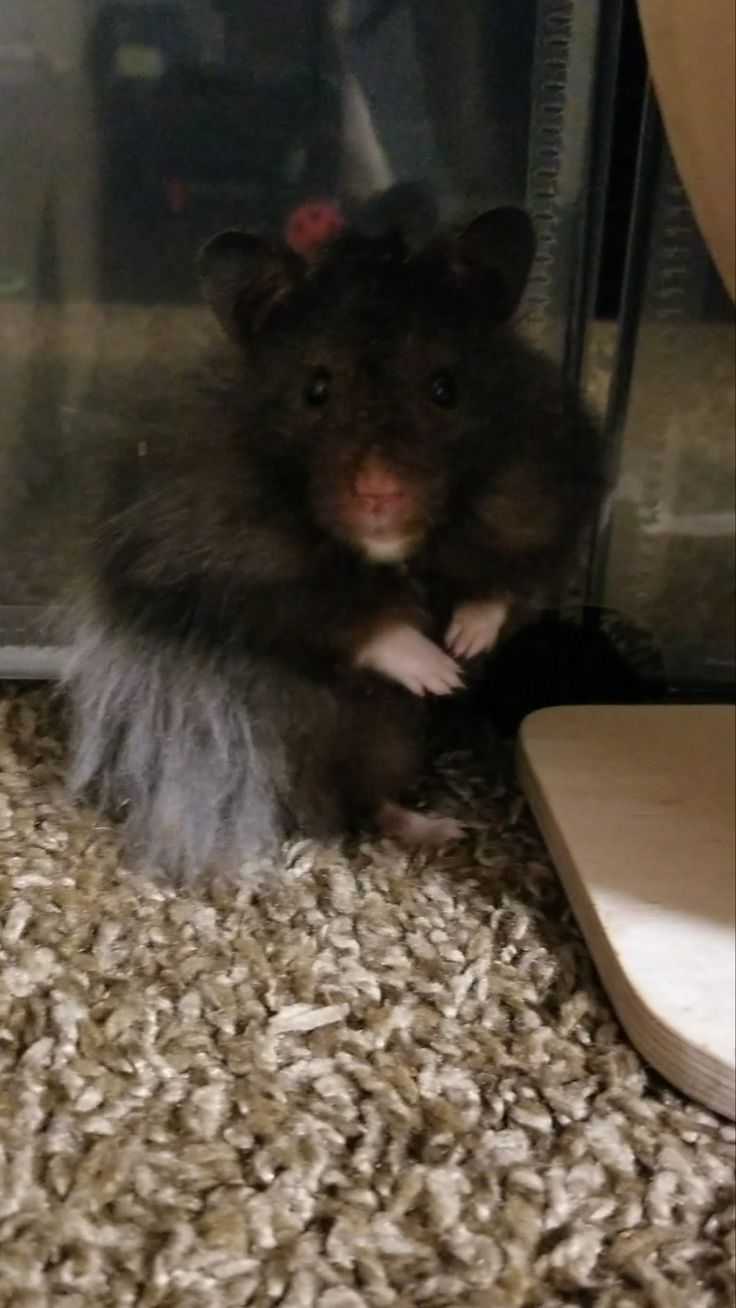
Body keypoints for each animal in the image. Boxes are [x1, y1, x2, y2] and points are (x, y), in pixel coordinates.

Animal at [63, 206, 603, 878]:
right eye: (315, 390)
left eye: (445, 389)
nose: (378, 492)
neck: (392, 555)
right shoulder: (237, 572)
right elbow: (357, 621)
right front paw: (438, 672)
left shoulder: (542, 511)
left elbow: (501, 590)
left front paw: (461, 645)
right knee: (348, 798)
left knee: (374, 796)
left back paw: (439, 826)